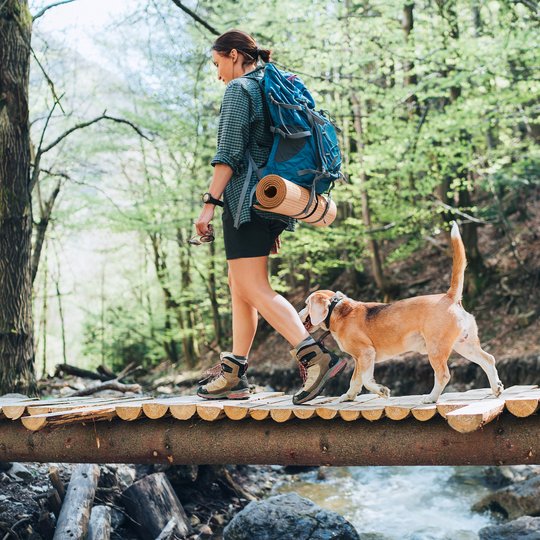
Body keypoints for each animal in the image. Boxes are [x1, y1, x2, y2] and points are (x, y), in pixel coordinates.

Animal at [298, 221, 504, 402]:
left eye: (306, 303)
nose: (298, 314)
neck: (337, 310)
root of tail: (449, 296)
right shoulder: (358, 360)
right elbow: (355, 381)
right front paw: (348, 397)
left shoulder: (366, 354)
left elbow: (366, 380)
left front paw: (381, 391)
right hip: (464, 345)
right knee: (489, 360)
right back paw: (496, 388)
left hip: (436, 349)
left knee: (444, 375)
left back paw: (431, 398)